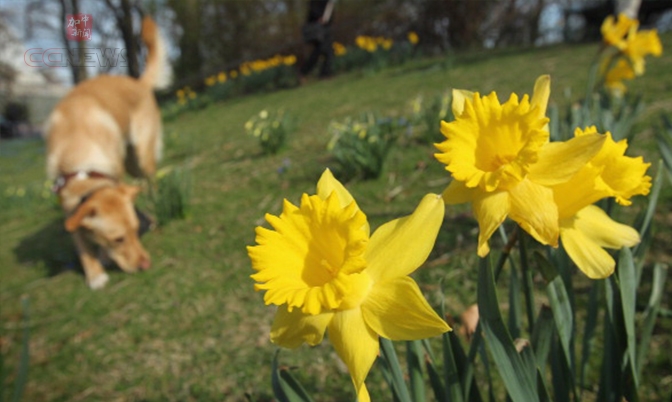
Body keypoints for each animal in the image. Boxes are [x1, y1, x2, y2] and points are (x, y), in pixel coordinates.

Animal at [44, 16, 171, 288]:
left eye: (135, 231)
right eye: (118, 239)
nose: (146, 265)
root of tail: (136, 81)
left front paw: (101, 259)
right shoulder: (69, 205)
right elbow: (81, 243)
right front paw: (94, 274)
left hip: (141, 158)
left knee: (152, 183)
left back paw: (157, 210)